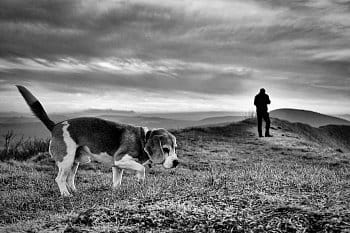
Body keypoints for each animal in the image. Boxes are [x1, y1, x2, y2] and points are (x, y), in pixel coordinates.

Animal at [16, 85, 178, 197]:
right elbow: (141, 168)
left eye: (175, 147)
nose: (176, 162)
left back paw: (74, 191)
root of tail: (55, 126)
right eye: (165, 149)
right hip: (66, 160)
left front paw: (116, 191)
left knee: (70, 179)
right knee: (60, 179)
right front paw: (140, 179)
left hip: (74, 162)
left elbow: (117, 181)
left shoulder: (117, 167)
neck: (143, 139)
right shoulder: (120, 159)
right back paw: (66, 194)